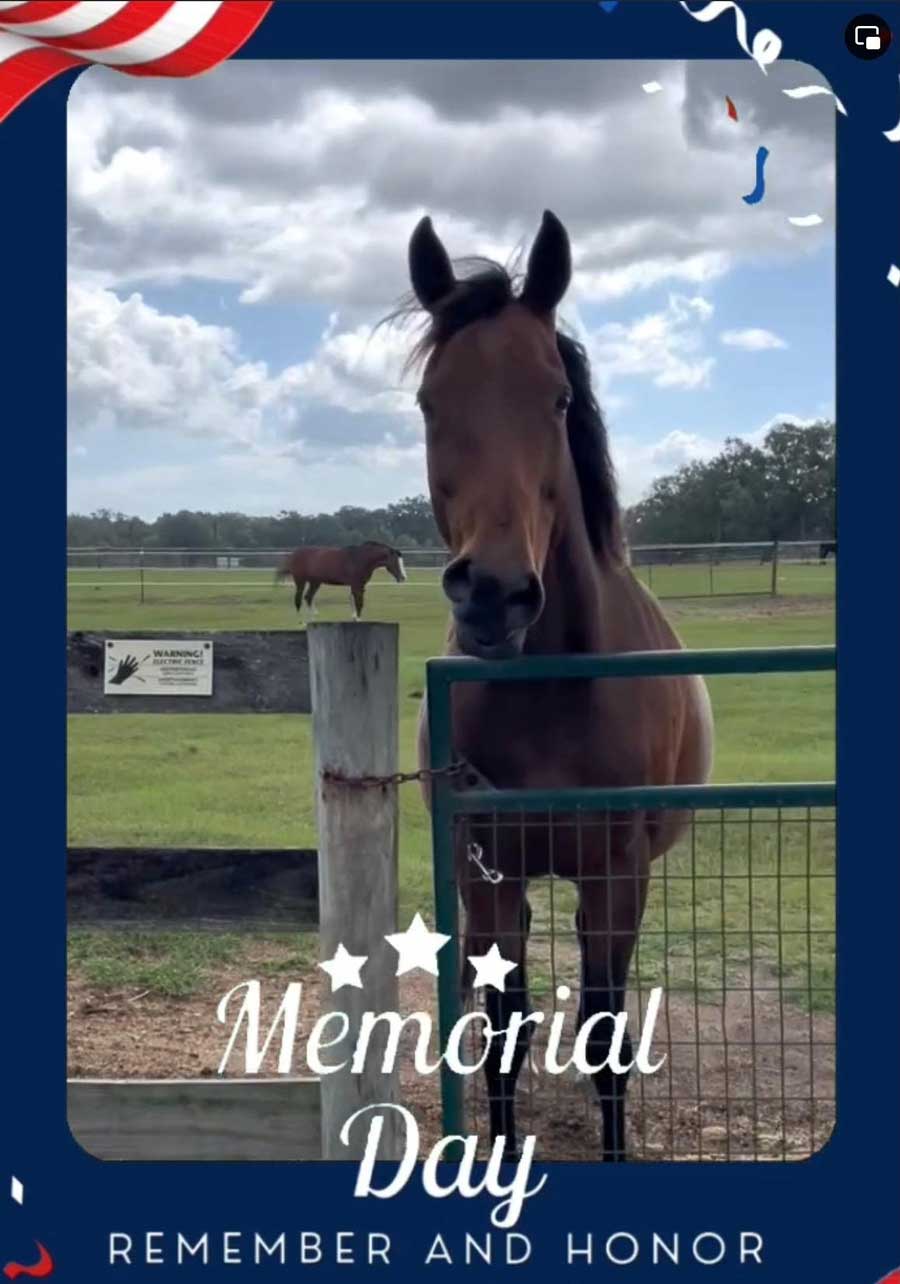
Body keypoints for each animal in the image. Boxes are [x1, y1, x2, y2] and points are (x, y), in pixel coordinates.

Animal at [270, 541, 403, 621]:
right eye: (395, 561)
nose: (402, 578)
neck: (360, 559)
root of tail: (294, 554)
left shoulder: (360, 585)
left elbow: (357, 602)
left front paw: (356, 618)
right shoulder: (356, 585)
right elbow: (358, 602)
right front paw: (358, 619)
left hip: (315, 582)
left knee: (308, 597)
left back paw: (313, 618)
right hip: (300, 581)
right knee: (298, 599)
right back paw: (301, 621)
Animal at [408, 213, 713, 1165]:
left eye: (557, 399)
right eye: (431, 401)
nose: (494, 595)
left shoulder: (616, 878)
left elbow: (606, 1038)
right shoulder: (493, 874)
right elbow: (505, 1033)